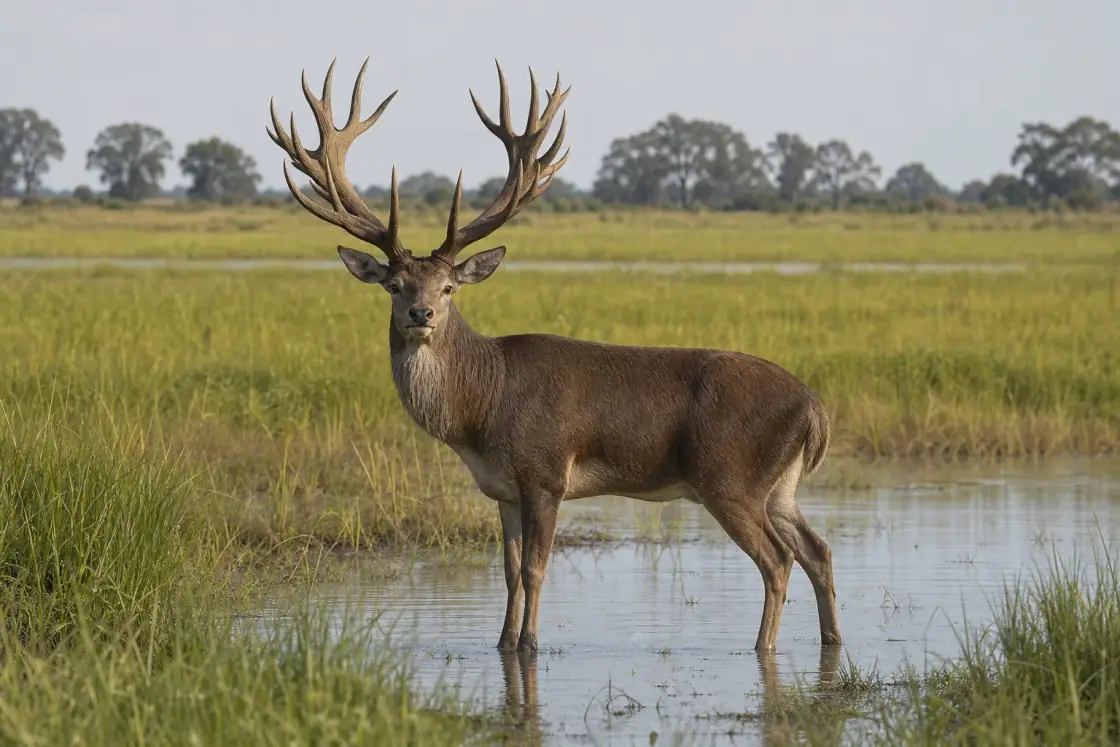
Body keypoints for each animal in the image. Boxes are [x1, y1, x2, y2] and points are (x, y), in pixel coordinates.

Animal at [267, 58, 842, 655]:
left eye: (449, 287)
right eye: (394, 285)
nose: (420, 315)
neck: (481, 412)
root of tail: (815, 410)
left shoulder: (545, 473)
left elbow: (537, 568)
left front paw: (529, 643)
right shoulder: (501, 489)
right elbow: (509, 570)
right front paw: (501, 641)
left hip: (729, 476)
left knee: (778, 560)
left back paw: (762, 646)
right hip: (779, 486)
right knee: (818, 550)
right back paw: (830, 640)